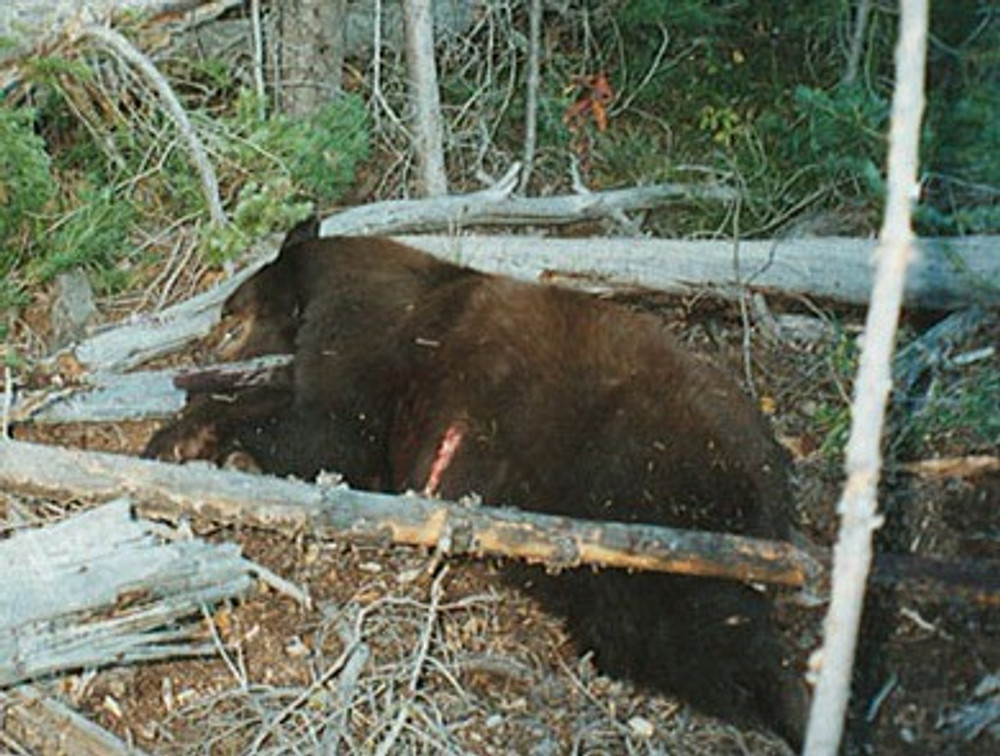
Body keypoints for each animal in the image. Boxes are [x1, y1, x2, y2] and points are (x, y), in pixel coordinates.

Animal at [146, 219, 804, 744]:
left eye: (236, 304)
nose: (216, 317)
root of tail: (776, 493)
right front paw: (181, 438)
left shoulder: (363, 338)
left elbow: (329, 432)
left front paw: (209, 446)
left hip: (651, 491)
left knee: (697, 634)